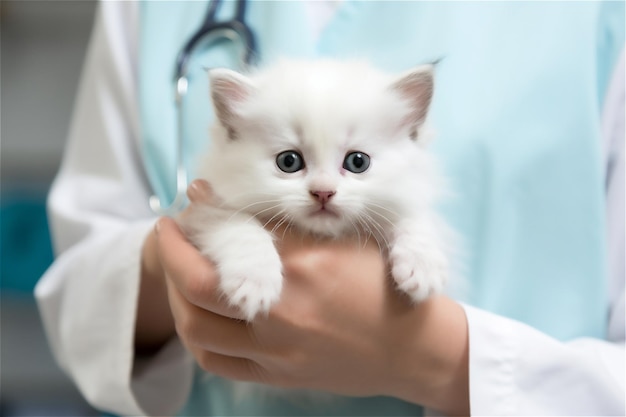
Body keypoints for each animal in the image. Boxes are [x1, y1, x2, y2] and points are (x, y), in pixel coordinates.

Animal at [180, 59, 448, 318]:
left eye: (357, 162)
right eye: (289, 161)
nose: (323, 192)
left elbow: (414, 220)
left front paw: (423, 268)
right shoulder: (205, 207)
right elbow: (241, 228)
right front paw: (255, 281)